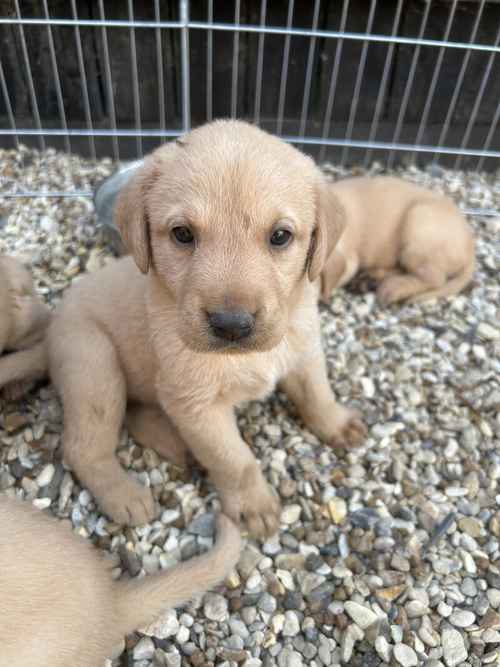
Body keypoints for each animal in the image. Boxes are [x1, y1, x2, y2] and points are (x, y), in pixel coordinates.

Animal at [47, 120, 366, 536]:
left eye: (280, 236)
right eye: (183, 234)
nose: (232, 325)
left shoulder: (304, 352)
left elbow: (317, 394)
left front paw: (336, 423)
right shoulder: (197, 405)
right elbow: (235, 460)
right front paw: (253, 505)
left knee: (138, 410)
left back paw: (173, 442)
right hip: (94, 367)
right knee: (83, 446)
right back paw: (125, 495)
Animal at [320, 175, 476, 306]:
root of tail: (471, 247)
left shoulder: (349, 259)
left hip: (418, 225)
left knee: (434, 278)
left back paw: (393, 289)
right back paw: (372, 278)